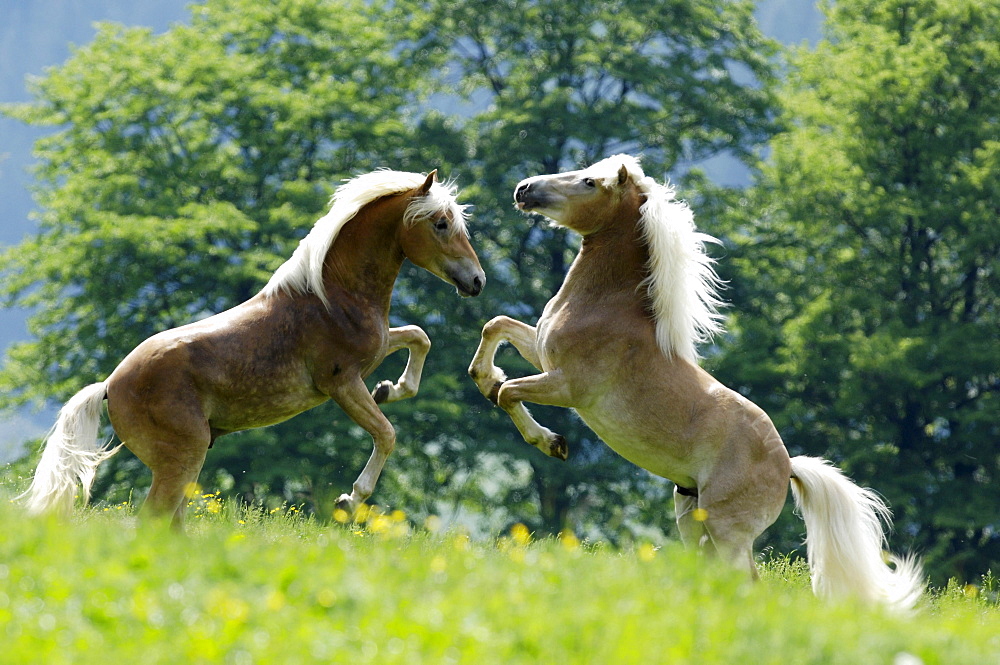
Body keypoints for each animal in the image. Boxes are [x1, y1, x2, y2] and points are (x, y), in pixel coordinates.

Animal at [22, 167, 484, 528]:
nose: (478, 281)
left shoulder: (377, 348)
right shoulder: (342, 383)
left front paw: (392, 388)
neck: (333, 296)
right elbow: (387, 434)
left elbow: (420, 336)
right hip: (181, 460)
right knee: (153, 521)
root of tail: (109, 386)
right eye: (441, 223)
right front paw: (350, 501)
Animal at [468, 154, 920, 608]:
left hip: (727, 530)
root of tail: (788, 465)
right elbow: (496, 326)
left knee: (749, 582)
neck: (603, 307)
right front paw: (486, 378)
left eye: (589, 182)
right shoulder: (542, 353)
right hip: (691, 516)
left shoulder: (567, 386)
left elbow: (509, 393)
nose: (524, 189)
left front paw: (551, 442)